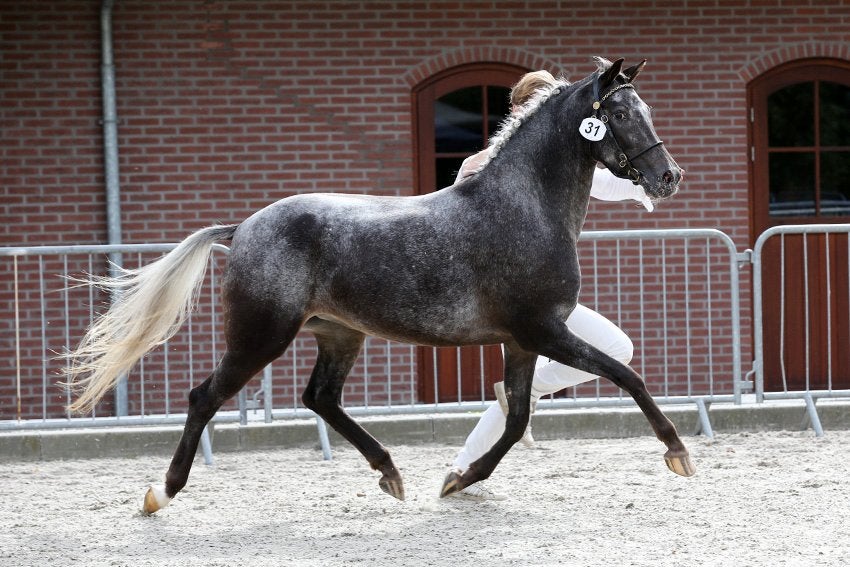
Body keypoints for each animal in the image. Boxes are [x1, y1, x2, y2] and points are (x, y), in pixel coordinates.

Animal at [65, 57, 693, 515]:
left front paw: (459, 480)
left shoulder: (521, 341)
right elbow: (627, 376)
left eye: (645, 108)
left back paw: (391, 474)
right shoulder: (545, 331)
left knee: (320, 397)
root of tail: (243, 228)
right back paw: (160, 492)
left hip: (340, 334)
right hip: (260, 336)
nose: (668, 177)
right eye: (622, 115)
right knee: (206, 397)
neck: (524, 208)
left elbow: (516, 420)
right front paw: (679, 452)